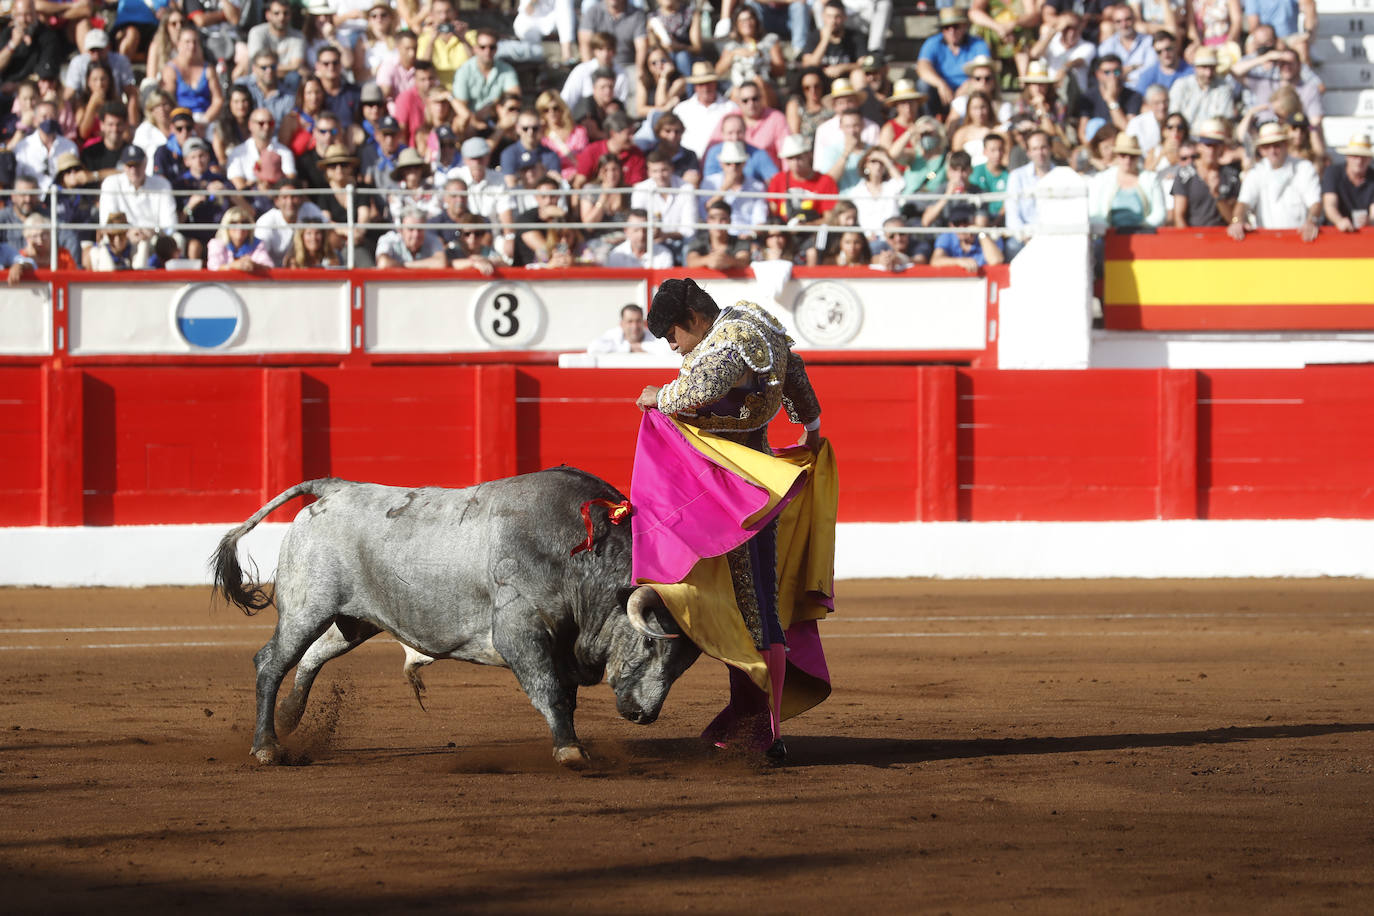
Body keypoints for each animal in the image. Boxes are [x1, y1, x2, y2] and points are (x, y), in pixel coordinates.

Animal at [208, 472, 703, 769]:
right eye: (650, 642)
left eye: (684, 663)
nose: (642, 714)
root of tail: (335, 489)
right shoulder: (521, 633)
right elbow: (551, 692)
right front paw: (570, 751)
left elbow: (564, 694)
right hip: (306, 608)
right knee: (271, 661)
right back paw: (267, 746)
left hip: (354, 620)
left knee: (311, 656)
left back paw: (289, 717)